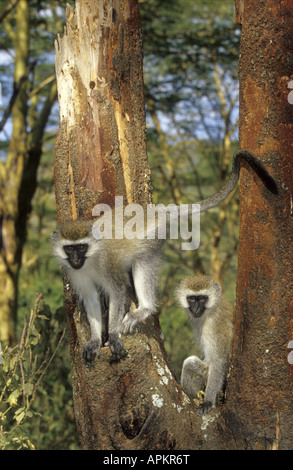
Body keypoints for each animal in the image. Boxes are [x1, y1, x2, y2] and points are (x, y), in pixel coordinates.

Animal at [52, 149, 276, 362]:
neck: (90, 261)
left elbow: (116, 292)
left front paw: (113, 335)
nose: (76, 259)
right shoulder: (73, 273)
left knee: (143, 262)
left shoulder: (108, 265)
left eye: (82, 248)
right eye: (70, 249)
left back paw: (145, 308)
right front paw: (95, 340)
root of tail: (155, 212)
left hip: (155, 235)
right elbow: (90, 298)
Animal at [175, 274, 234, 416]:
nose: (196, 308)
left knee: (190, 363)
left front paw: (208, 402)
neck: (211, 310)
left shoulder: (215, 325)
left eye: (202, 298)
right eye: (191, 298)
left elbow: (218, 361)